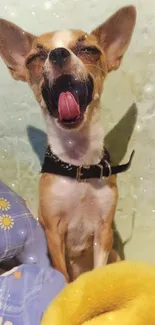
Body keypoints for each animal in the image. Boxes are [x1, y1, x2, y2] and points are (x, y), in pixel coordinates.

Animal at [0, 6, 136, 280]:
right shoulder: (53, 233)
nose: (58, 53)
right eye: (35, 57)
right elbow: (62, 274)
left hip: (115, 254)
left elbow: (98, 270)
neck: (78, 164)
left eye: (89, 50)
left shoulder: (103, 233)